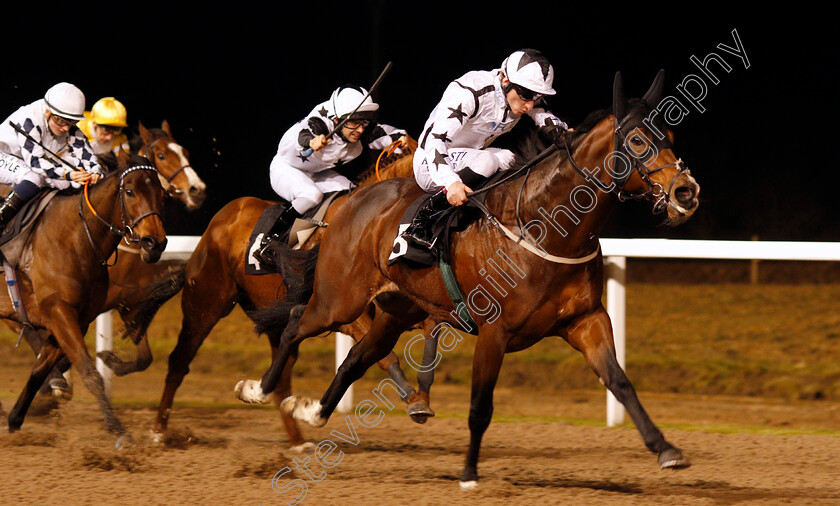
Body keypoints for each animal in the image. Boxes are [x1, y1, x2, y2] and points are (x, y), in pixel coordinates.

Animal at [0, 151, 167, 446]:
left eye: (161, 193)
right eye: (130, 191)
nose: (154, 243)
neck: (75, 238)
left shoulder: (76, 319)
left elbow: (38, 372)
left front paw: (15, 420)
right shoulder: (59, 312)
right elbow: (90, 373)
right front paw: (119, 433)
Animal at [153, 137, 426, 446]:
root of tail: (222, 217)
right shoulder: (341, 312)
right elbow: (382, 355)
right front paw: (414, 400)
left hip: (268, 315)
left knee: (281, 375)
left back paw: (296, 438)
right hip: (204, 306)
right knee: (179, 361)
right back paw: (159, 431)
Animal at [238, 70, 704, 486]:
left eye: (671, 135)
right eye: (638, 140)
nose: (686, 192)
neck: (542, 226)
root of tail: (348, 204)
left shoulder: (586, 319)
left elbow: (620, 382)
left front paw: (666, 449)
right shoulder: (495, 332)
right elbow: (481, 407)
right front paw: (468, 475)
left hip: (396, 310)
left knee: (356, 357)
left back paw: (312, 411)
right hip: (340, 299)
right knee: (296, 322)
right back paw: (258, 390)